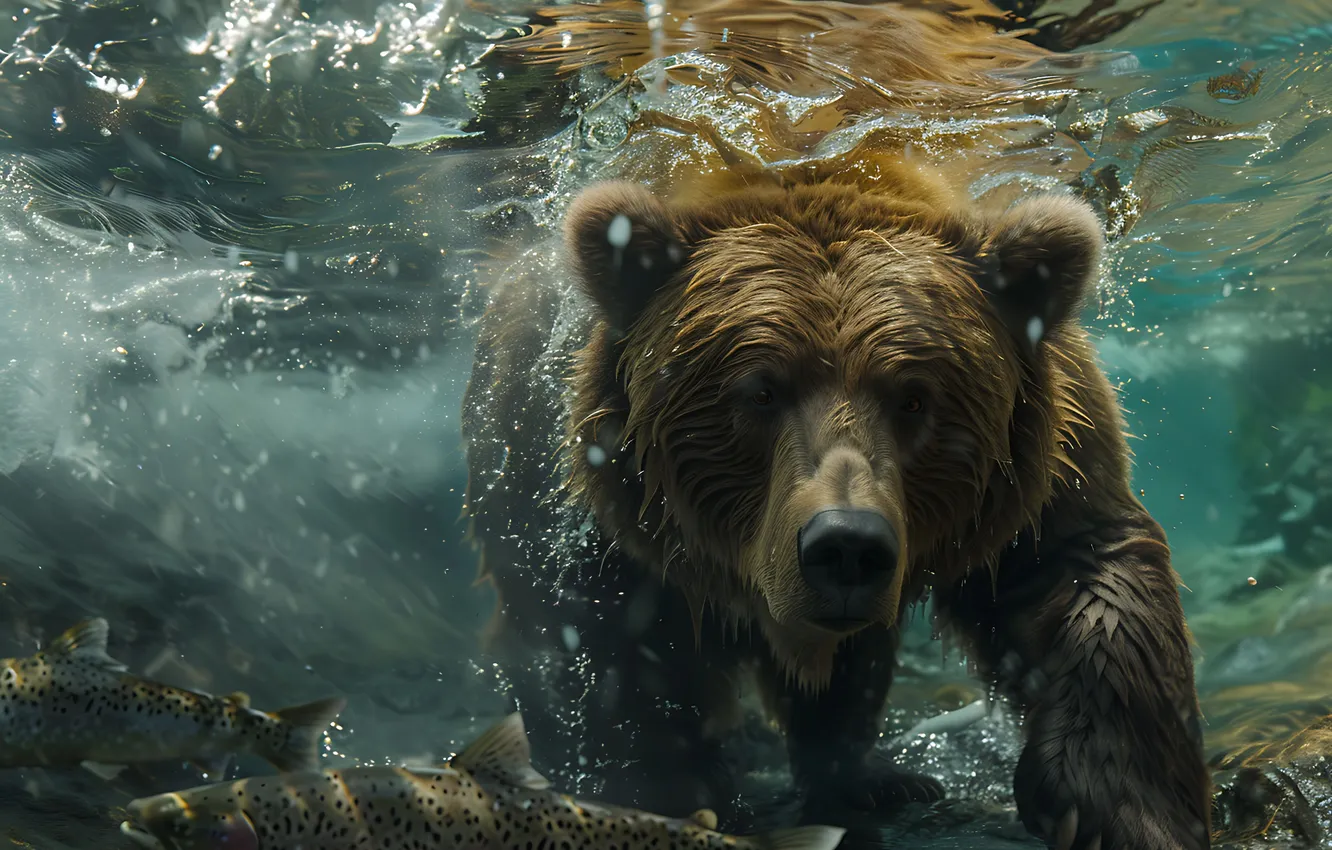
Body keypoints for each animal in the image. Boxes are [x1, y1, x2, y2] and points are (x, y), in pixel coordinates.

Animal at [459, 153, 1212, 850]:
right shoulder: (583, 495)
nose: (846, 544)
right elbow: (606, 645)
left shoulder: (1043, 457)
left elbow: (1080, 573)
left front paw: (1116, 811)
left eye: (915, 398)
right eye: (760, 390)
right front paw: (669, 790)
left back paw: (870, 778)